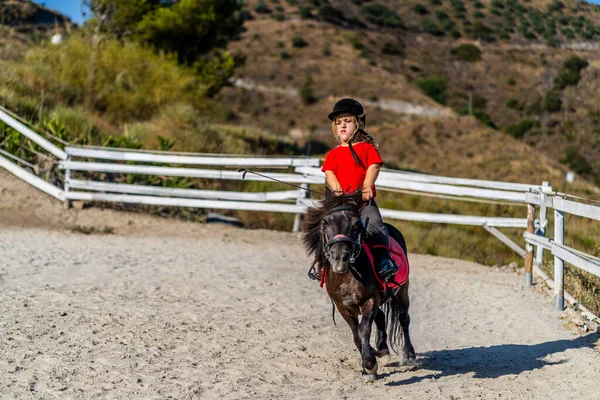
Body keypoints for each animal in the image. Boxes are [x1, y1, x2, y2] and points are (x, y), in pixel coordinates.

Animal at [302, 188, 414, 382]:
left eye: (356, 225)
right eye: (325, 223)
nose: (340, 258)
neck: (347, 276)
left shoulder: (370, 300)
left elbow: (363, 331)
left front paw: (370, 365)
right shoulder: (343, 307)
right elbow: (356, 336)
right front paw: (368, 366)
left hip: (402, 292)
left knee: (403, 318)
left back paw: (409, 356)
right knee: (381, 317)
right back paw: (383, 351)